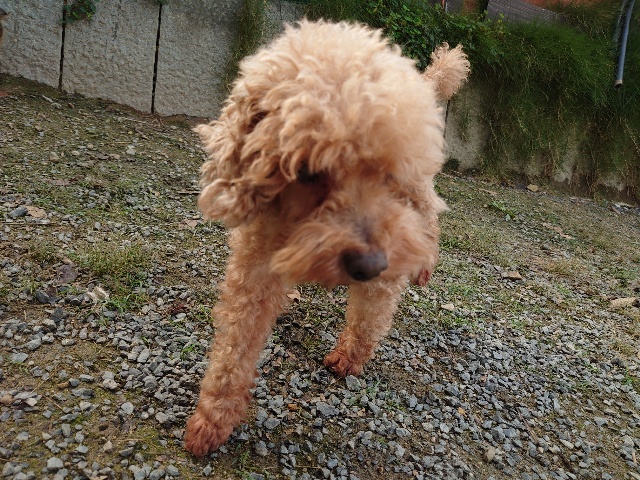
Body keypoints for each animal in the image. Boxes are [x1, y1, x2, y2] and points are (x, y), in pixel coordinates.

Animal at [185, 19, 469, 456]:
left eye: (387, 174)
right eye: (307, 172)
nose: (368, 266)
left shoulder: (389, 243)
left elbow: (371, 313)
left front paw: (351, 356)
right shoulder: (256, 261)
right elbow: (236, 341)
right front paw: (212, 418)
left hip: (419, 195)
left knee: (430, 221)